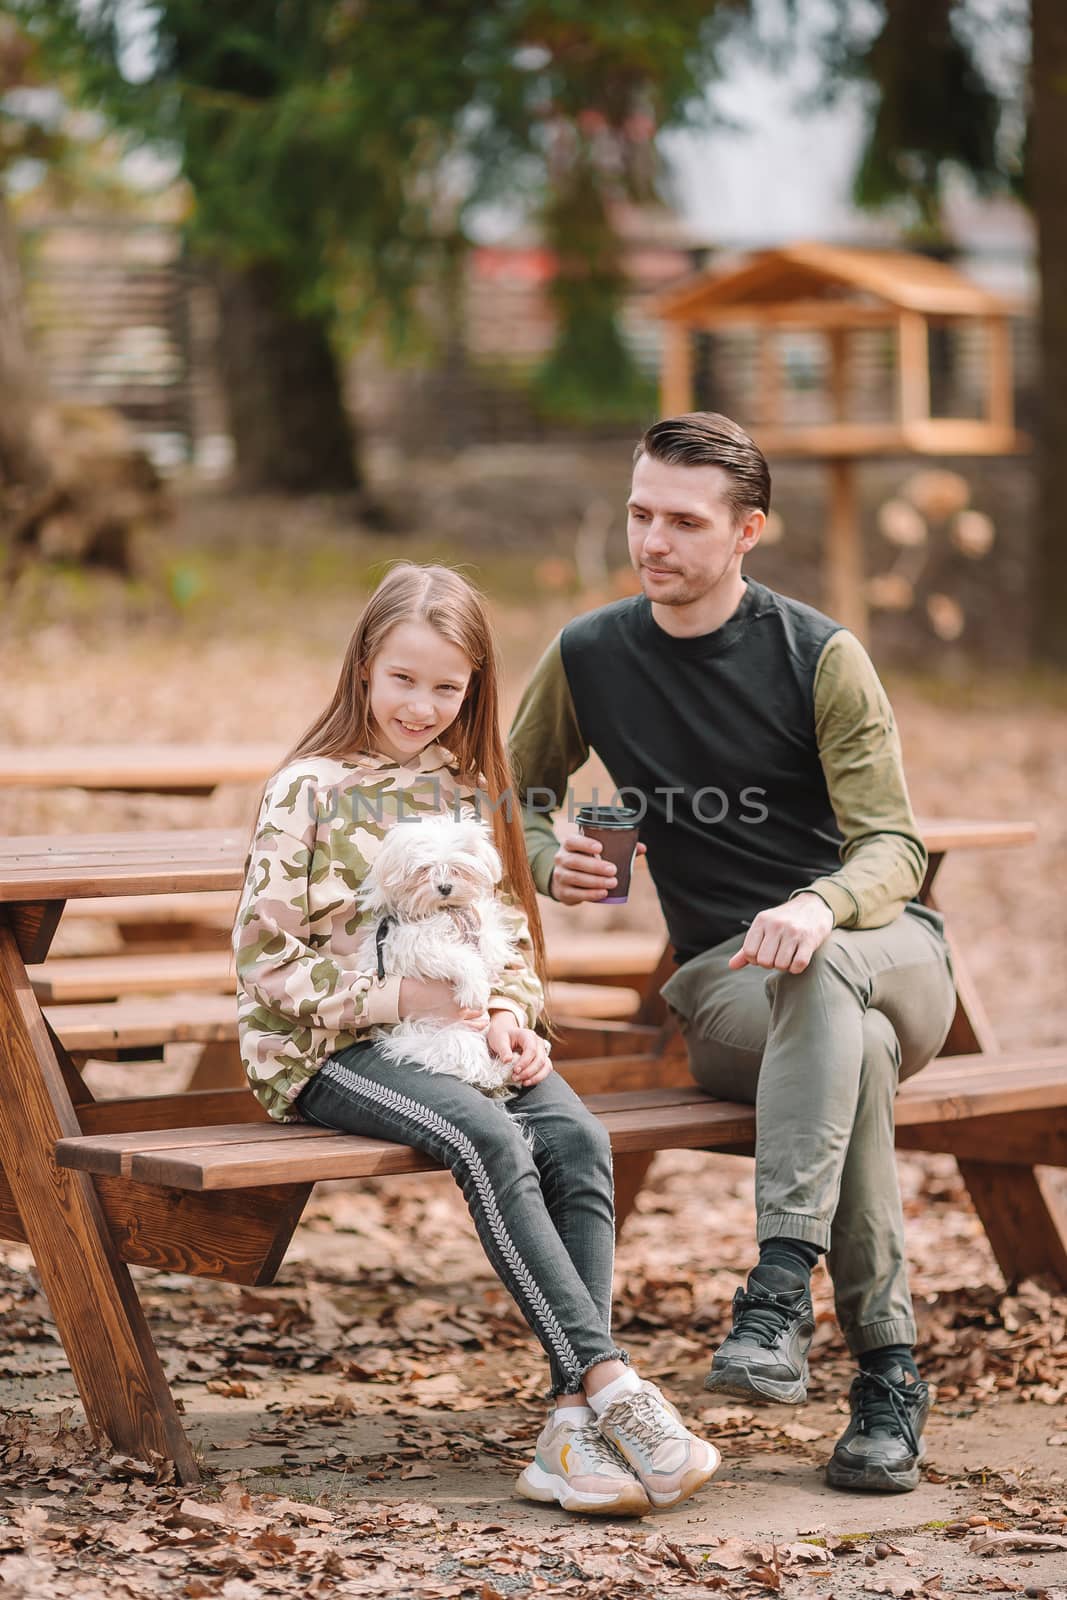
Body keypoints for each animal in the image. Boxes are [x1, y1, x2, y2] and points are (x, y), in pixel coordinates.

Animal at [355, 819, 531, 1094]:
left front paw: (492, 963)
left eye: (457, 868)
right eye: (424, 869)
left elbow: (489, 934)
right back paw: (502, 1071)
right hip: (454, 1035)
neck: (446, 911)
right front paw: (475, 986)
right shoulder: (413, 943)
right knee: (473, 1067)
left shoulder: (475, 916)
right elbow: (460, 956)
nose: (445, 887)